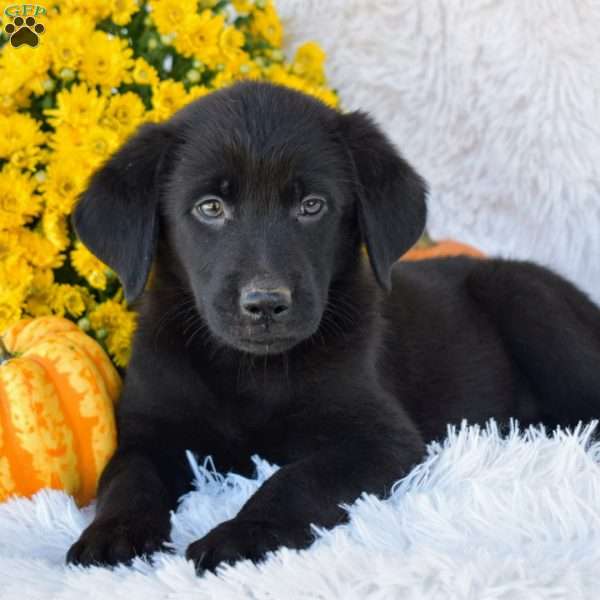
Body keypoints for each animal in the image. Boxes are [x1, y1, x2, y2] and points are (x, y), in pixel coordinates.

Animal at [67, 81, 600, 572]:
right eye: (210, 208)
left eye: (312, 206)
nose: (265, 303)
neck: (250, 371)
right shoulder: (148, 430)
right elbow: (126, 477)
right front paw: (113, 533)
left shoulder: (380, 438)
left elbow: (297, 479)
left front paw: (244, 533)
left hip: (522, 296)